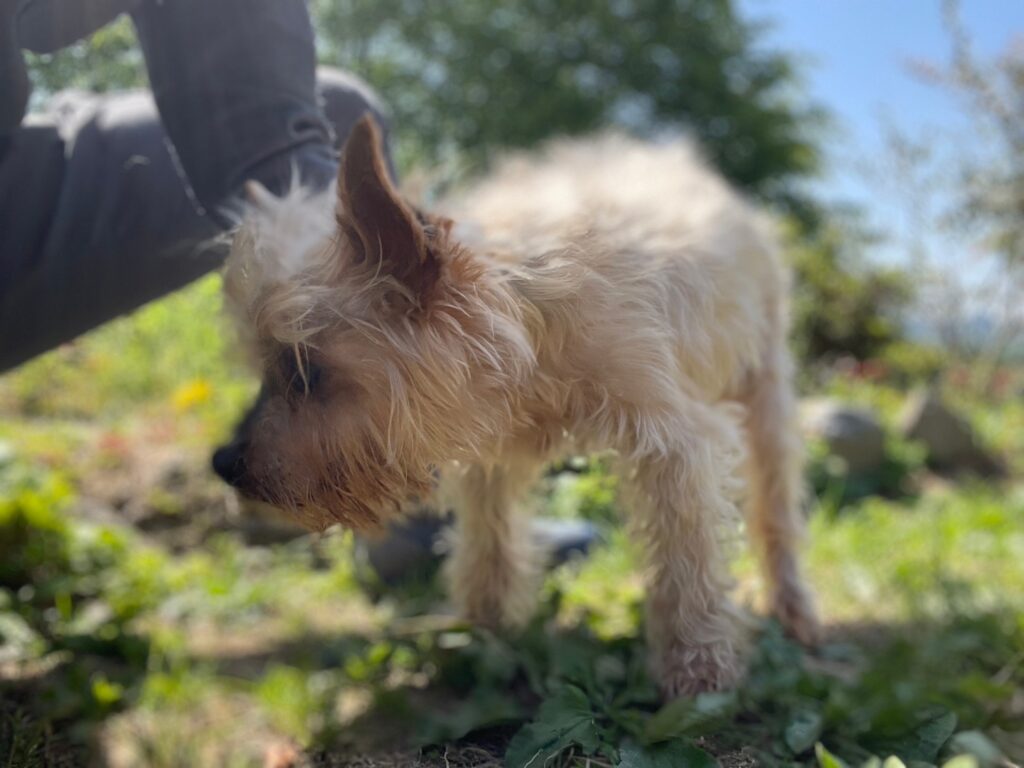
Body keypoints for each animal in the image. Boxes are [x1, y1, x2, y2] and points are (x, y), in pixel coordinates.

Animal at [218, 115, 818, 697]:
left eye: (303, 370)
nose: (225, 464)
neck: (523, 313)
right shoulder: (491, 455)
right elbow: (489, 543)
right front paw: (483, 631)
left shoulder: (672, 439)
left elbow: (686, 555)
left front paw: (697, 664)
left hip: (766, 385)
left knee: (775, 508)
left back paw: (793, 606)